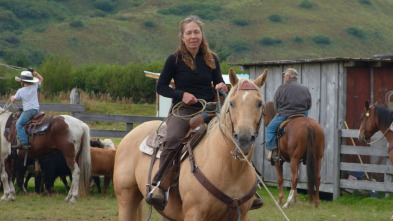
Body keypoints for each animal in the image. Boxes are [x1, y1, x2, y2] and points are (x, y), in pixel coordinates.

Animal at [112, 68, 266, 220]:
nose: (244, 139)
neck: (231, 168)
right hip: (126, 196)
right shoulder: (194, 213)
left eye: (259, 103)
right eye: (232, 103)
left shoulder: (242, 214)